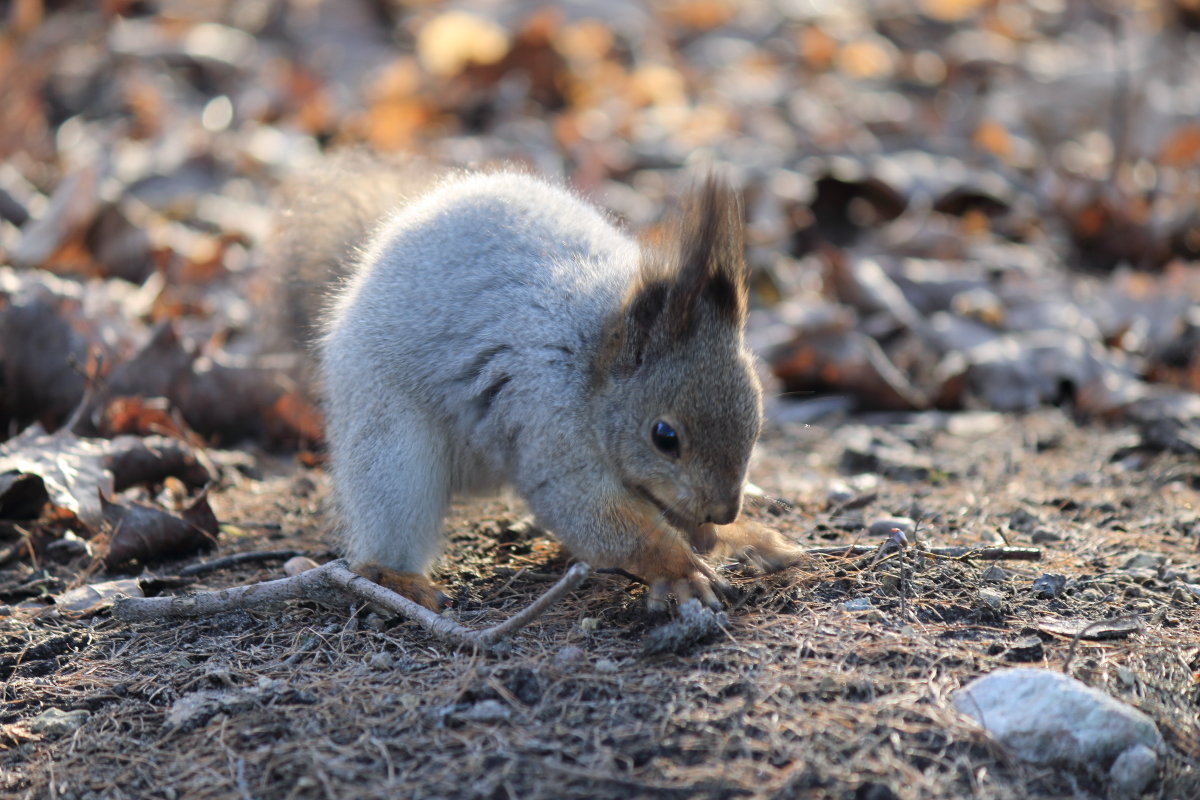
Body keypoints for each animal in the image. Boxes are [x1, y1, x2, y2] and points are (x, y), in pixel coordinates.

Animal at [280, 160, 801, 614]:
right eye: (664, 437)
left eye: (757, 423)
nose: (723, 511)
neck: (594, 359)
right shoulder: (550, 415)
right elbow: (592, 515)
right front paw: (679, 570)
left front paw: (732, 537)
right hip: (391, 441)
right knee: (380, 530)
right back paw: (398, 581)